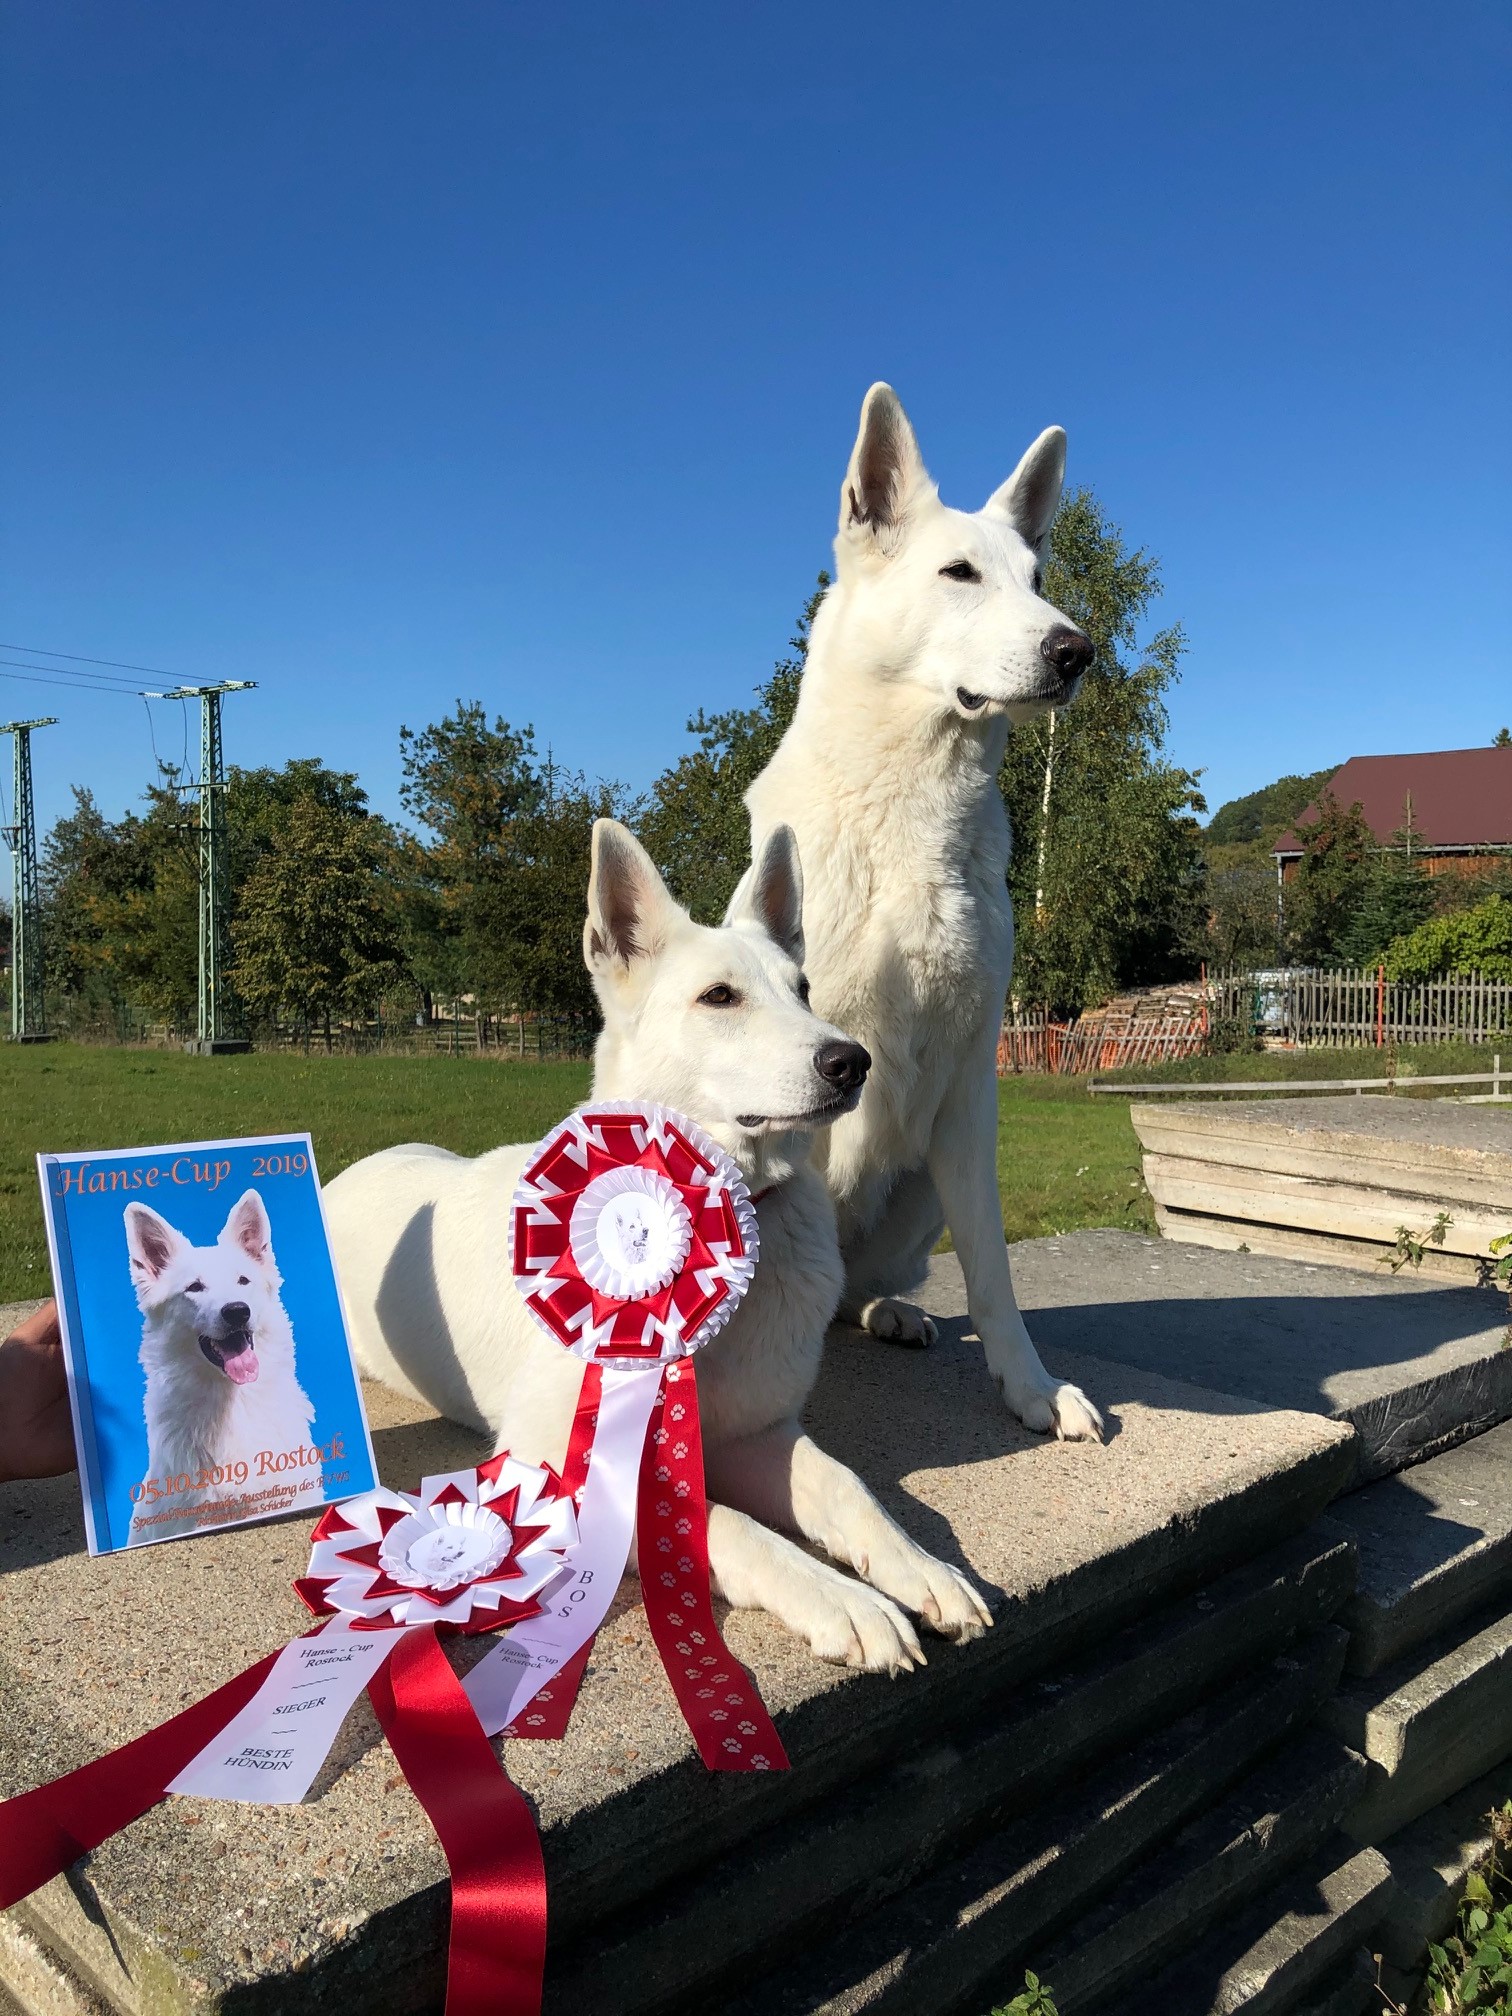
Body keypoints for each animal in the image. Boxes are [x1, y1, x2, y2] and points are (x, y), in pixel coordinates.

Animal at [326, 818, 995, 1669]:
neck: (717, 1226)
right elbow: (729, 1528)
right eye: (720, 996)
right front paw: (845, 1600)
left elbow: (849, 1489)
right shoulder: (560, 1469)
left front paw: (923, 1569)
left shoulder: (754, 1432)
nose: (851, 1062)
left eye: (803, 991)